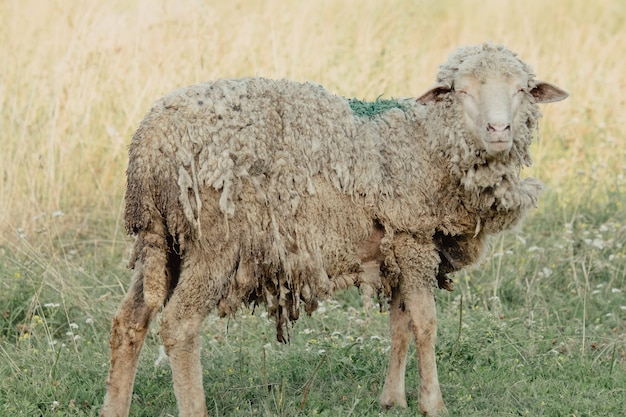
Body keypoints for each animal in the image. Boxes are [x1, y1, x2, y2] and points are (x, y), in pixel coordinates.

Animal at [98, 43, 564, 416]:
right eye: (461, 90)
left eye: (522, 89)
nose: (499, 130)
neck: (426, 142)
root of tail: (147, 147)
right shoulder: (412, 238)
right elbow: (425, 323)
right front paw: (433, 403)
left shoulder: (395, 246)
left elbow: (400, 323)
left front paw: (392, 399)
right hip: (215, 242)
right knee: (178, 326)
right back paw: (193, 408)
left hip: (165, 243)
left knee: (129, 320)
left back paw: (114, 408)